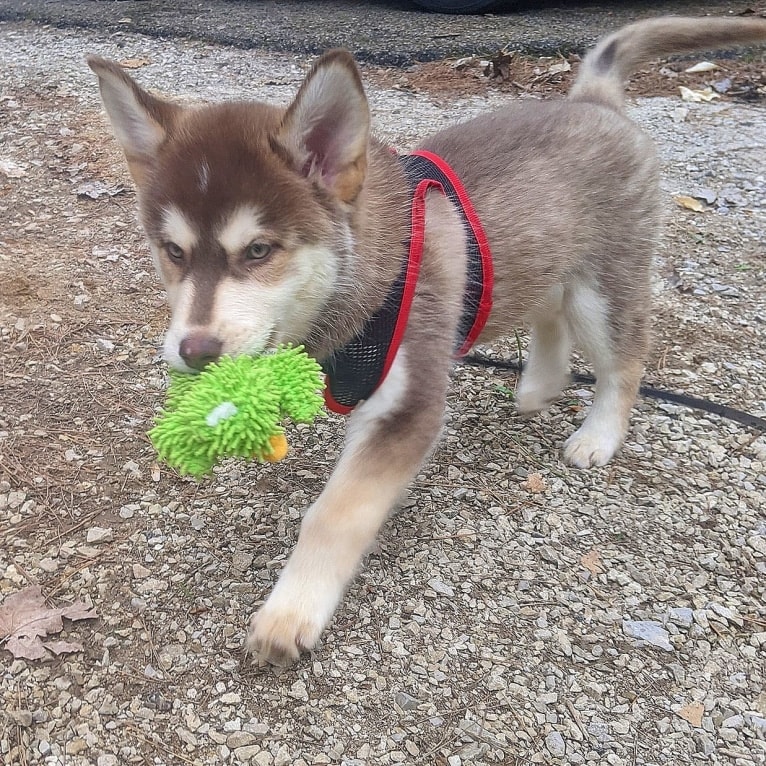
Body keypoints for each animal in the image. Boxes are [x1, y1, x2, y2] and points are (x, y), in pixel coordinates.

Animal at [90, 18, 766, 664]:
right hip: (546, 261)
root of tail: (592, 99)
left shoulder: (406, 405)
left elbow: (334, 516)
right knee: (548, 313)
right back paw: (539, 386)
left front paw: (291, 613)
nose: (194, 352)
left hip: (604, 283)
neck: (371, 268)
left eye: (258, 251)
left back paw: (598, 434)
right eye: (173, 252)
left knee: (623, 360)